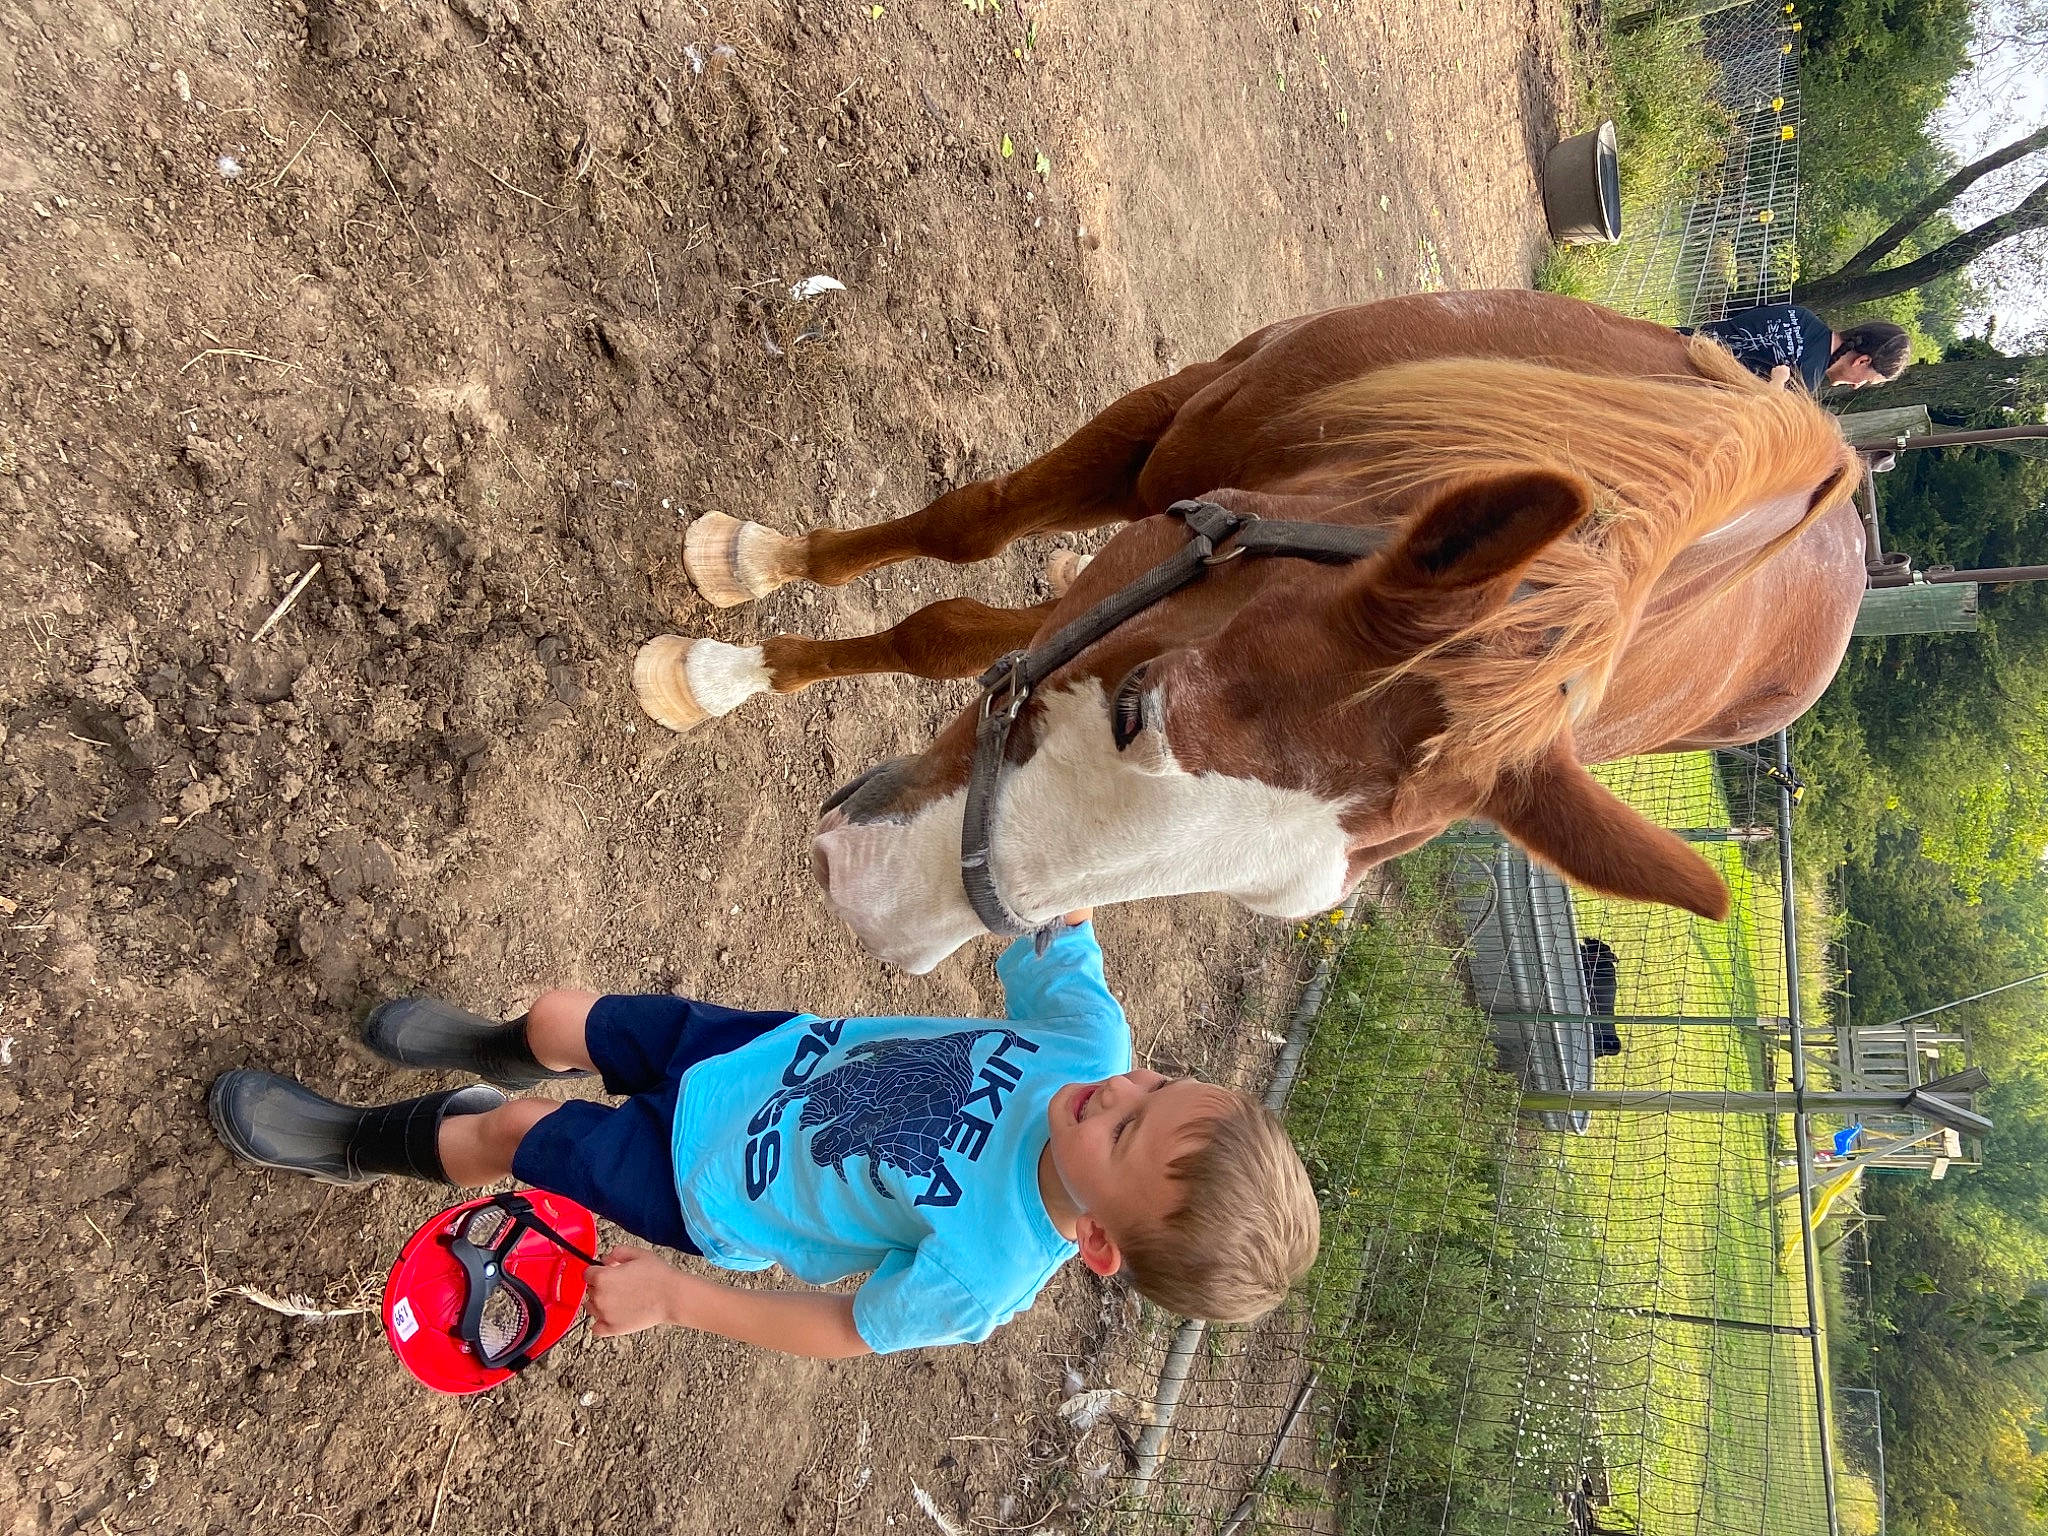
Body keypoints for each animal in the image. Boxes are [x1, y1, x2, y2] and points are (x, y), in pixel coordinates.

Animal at [631, 291, 1864, 973]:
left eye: (1266, 901)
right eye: (1133, 712)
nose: (880, 916)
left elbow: (966, 627)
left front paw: (733, 658)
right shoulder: (1169, 423)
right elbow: (964, 534)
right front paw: (738, 625)